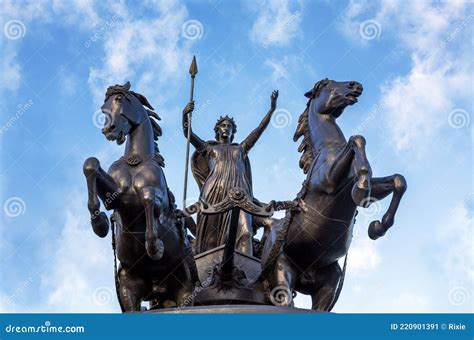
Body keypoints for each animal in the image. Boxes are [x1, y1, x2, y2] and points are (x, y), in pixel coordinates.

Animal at [84, 82, 195, 310]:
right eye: (103, 107)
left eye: (119, 100)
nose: (108, 130)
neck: (136, 160)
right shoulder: (117, 197)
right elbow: (91, 164)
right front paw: (100, 223)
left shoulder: (157, 200)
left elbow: (147, 196)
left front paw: (155, 247)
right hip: (129, 287)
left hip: (185, 288)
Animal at [262, 79, 406, 310]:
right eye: (325, 84)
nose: (355, 85)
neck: (328, 148)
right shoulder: (329, 180)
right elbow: (357, 139)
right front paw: (362, 186)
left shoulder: (353, 183)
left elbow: (398, 181)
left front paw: (378, 227)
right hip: (281, 271)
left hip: (329, 284)